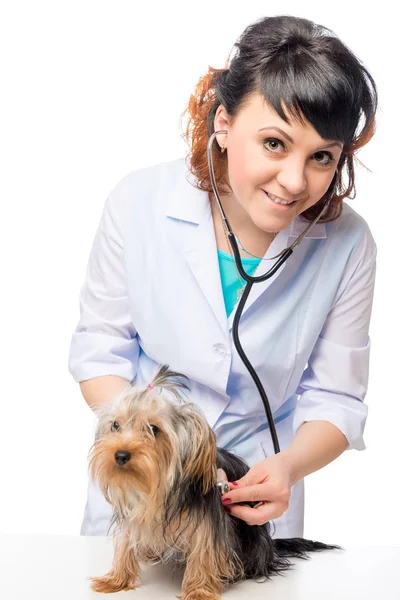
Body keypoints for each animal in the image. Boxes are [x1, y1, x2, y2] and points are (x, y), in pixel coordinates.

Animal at [86, 366, 340, 600]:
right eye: (115, 425)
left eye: (154, 429)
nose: (120, 455)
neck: (161, 489)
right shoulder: (132, 511)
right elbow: (125, 542)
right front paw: (116, 579)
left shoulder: (210, 521)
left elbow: (205, 549)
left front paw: (199, 590)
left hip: (253, 540)